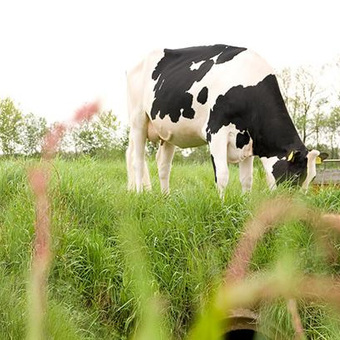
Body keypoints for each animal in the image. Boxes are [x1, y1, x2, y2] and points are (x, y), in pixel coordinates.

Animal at [126, 45, 326, 198]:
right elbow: (222, 176)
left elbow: (247, 180)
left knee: (163, 165)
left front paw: (244, 204)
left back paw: (165, 198)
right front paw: (222, 206)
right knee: (137, 161)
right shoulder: (216, 132)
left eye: (313, 178)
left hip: (167, 132)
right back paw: (139, 194)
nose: (298, 205)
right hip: (138, 121)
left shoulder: (247, 140)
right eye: (296, 175)